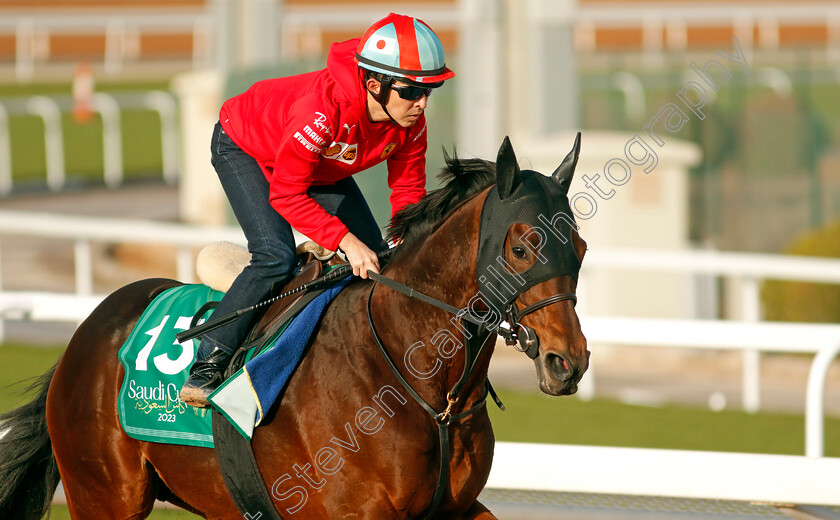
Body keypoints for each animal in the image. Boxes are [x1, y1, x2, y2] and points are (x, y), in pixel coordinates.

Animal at [0, 136, 592, 516]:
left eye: (581, 248)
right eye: (521, 247)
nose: (569, 361)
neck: (418, 382)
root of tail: (84, 334)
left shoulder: (457, 510)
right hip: (103, 493)